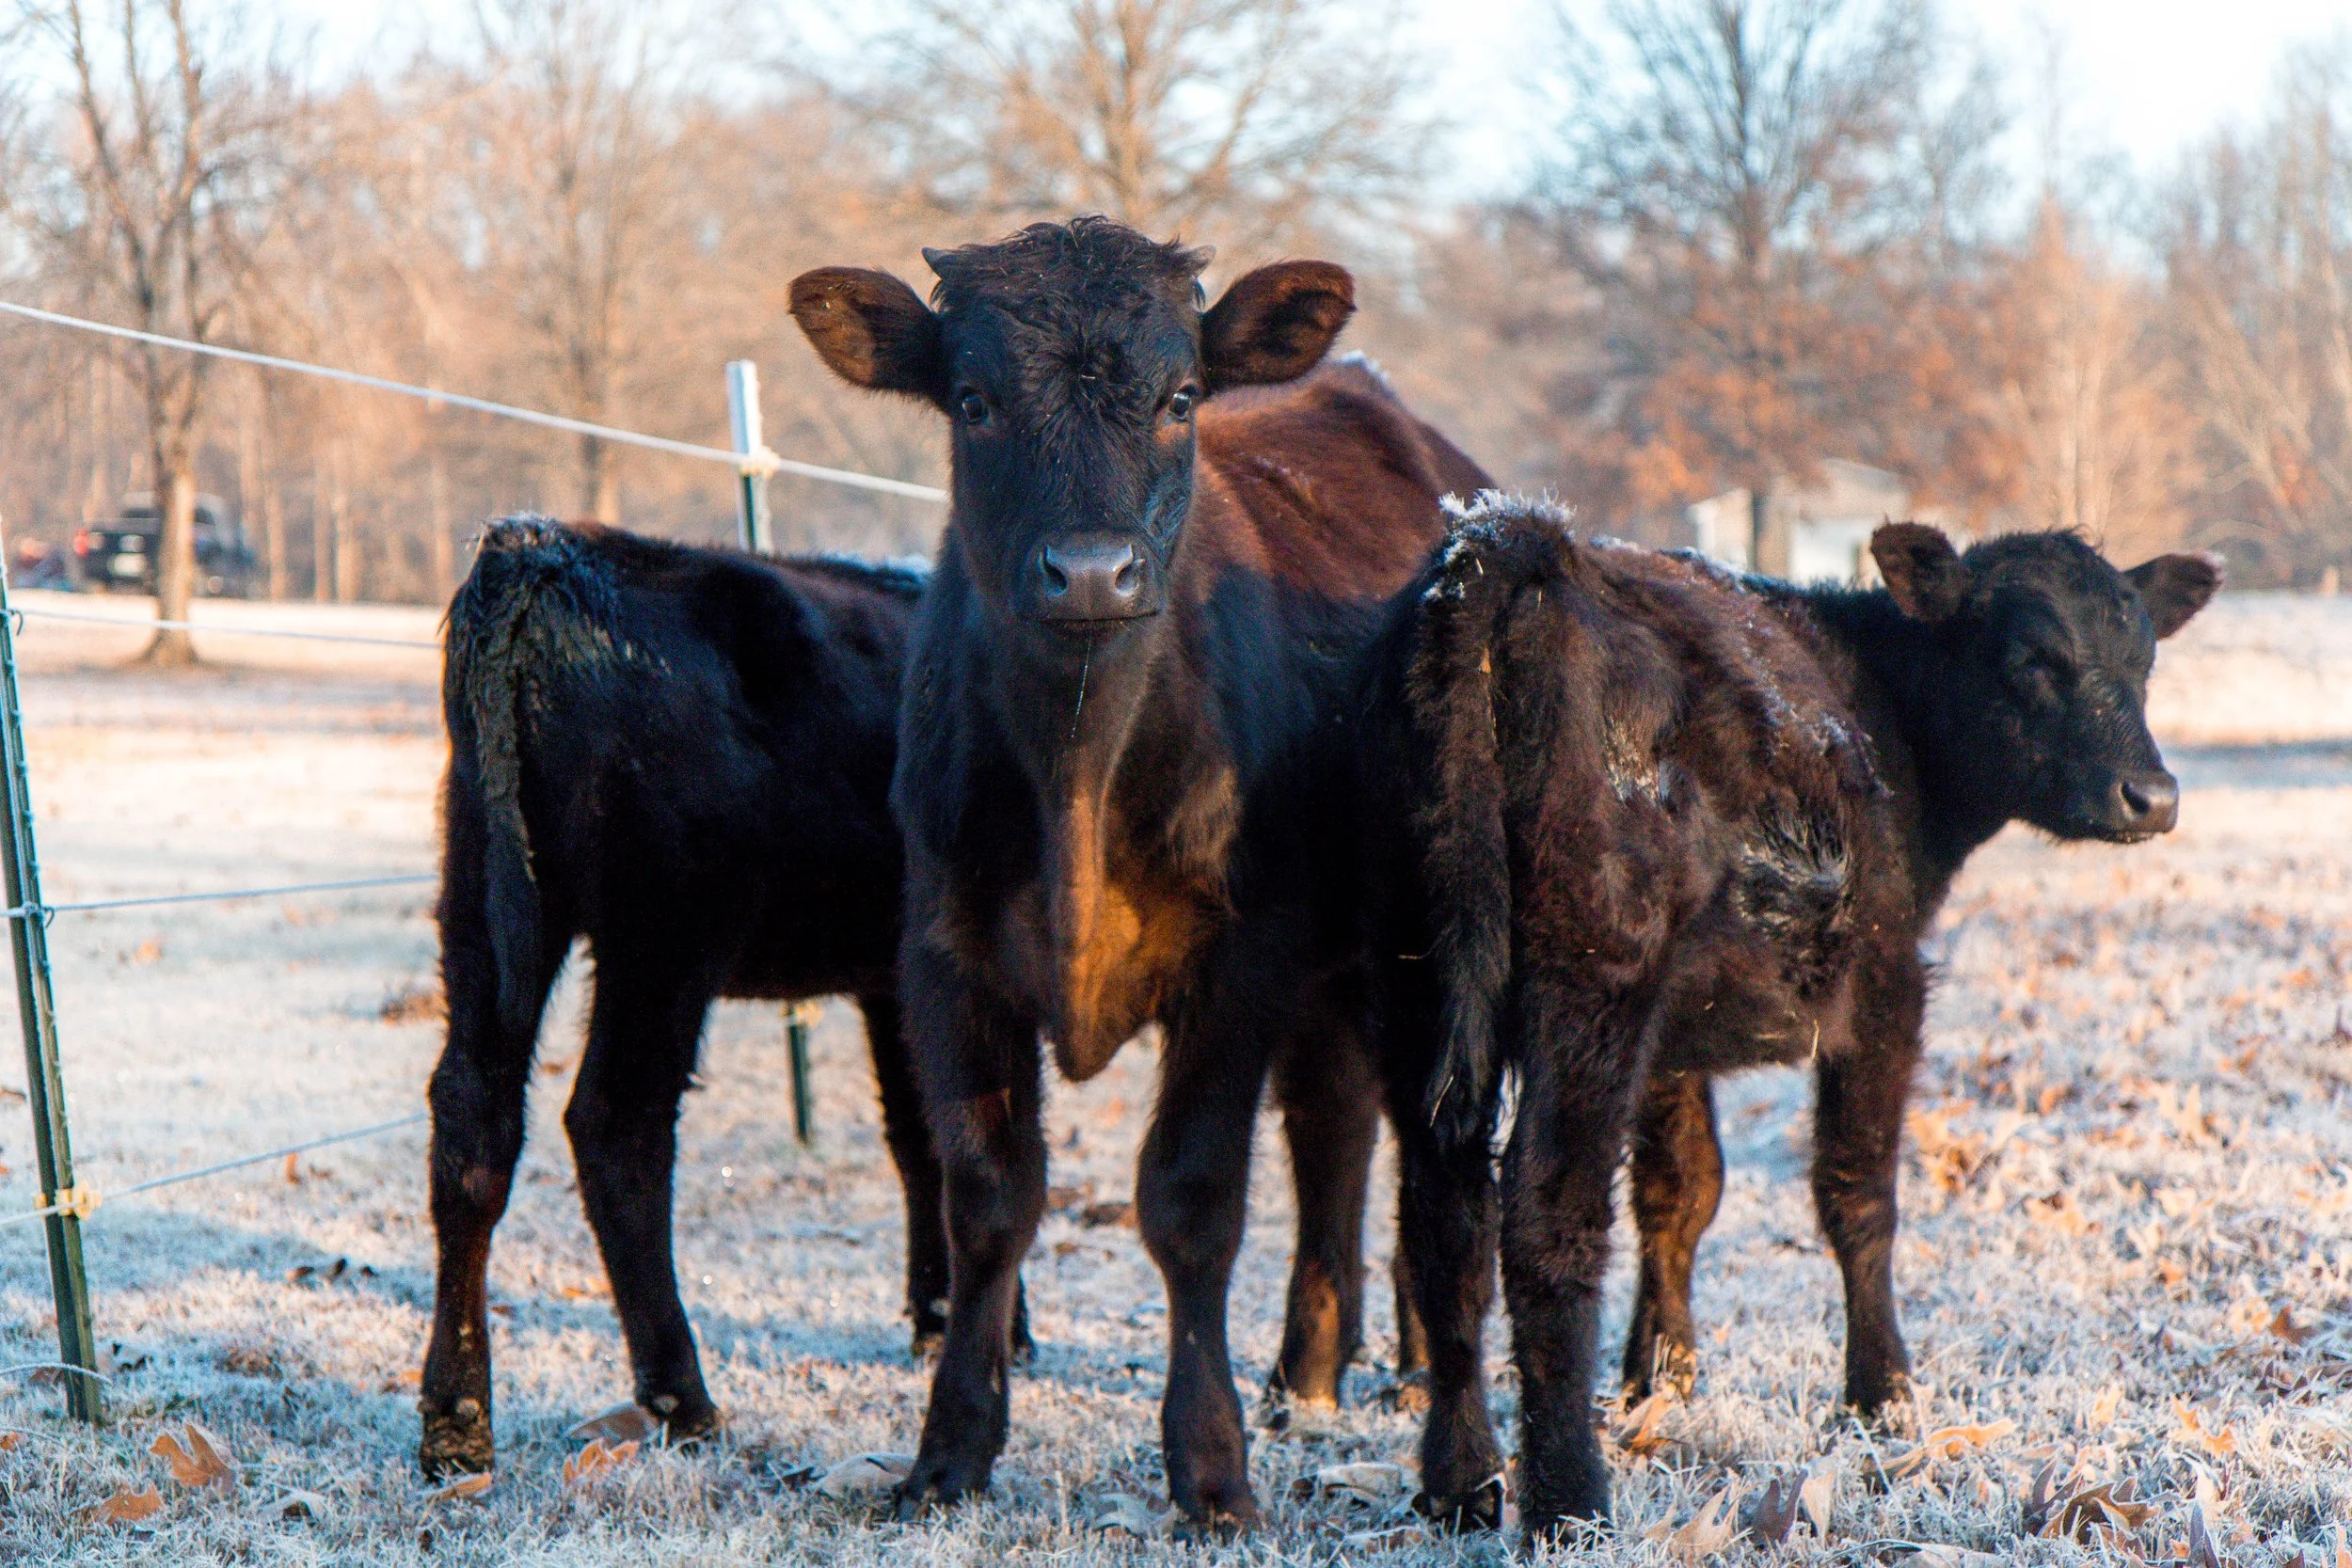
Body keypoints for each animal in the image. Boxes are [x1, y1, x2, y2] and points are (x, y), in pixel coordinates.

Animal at [789, 217, 1490, 1528]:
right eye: (973, 399)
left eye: (1179, 399)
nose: (1090, 571)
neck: (1079, 774)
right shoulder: (946, 961)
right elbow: (989, 1197)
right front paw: (949, 1452)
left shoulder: (1239, 961)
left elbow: (1191, 1199)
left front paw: (1210, 1471)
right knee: (1333, 1127)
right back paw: (1307, 1369)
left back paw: (1407, 1364)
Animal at [1370, 499, 2219, 1540]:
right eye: (2030, 658)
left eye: (2143, 662)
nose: (2152, 796)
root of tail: (1515, 542)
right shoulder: (1884, 986)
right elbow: (1858, 1192)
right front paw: (1883, 1395)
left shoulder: (1670, 1037)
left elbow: (1682, 1190)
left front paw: (1661, 1377)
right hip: (1589, 982)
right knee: (1545, 1215)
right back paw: (1567, 1503)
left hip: (1416, 986)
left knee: (1442, 1217)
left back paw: (1459, 1481)